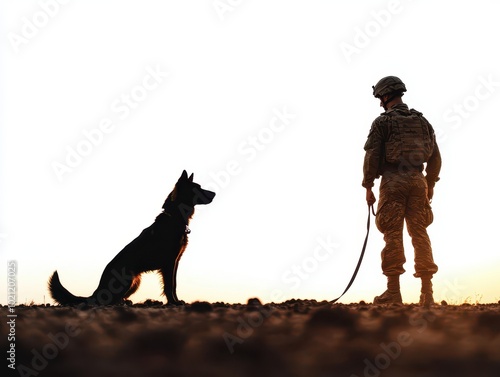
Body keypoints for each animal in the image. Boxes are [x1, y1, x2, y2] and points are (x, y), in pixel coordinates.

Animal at [48, 170, 215, 306]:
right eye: (198, 188)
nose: (214, 194)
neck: (173, 216)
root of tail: (97, 290)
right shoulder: (169, 263)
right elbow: (170, 286)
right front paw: (173, 302)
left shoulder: (175, 262)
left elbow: (174, 285)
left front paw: (175, 300)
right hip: (128, 279)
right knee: (108, 301)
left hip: (135, 281)